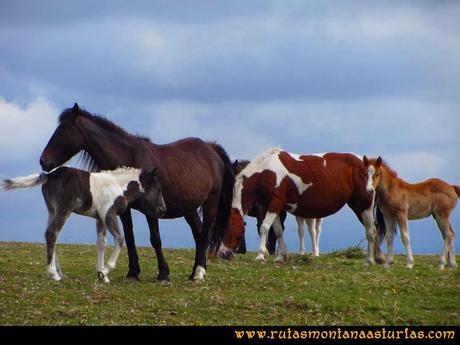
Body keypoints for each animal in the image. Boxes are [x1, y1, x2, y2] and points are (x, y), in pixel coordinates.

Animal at [0, 167, 166, 282]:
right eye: (157, 188)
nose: (163, 210)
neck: (119, 186)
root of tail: (48, 175)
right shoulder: (109, 214)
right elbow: (120, 239)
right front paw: (105, 271)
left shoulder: (100, 218)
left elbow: (101, 243)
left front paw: (102, 276)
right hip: (63, 209)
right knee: (52, 233)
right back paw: (53, 275)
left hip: (52, 210)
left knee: (51, 235)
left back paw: (59, 273)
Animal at [39, 102, 234, 280]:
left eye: (62, 130)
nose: (43, 161)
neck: (128, 158)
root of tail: (210, 149)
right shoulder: (123, 209)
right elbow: (129, 237)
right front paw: (133, 272)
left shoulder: (152, 209)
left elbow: (155, 239)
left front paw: (163, 273)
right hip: (189, 209)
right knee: (198, 234)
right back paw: (194, 272)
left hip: (210, 203)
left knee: (205, 234)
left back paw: (199, 273)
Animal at [219, 147, 384, 264]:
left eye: (227, 227)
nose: (222, 253)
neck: (267, 172)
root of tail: (370, 165)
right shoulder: (274, 207)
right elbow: (278, 231)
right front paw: (281, 256)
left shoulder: (275, 203)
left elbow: (264, 227)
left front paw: (260, 255)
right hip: (356, 205)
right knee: (373, 229)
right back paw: (379, 257)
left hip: (364, 205)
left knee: (370, 231)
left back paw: (371, 259)